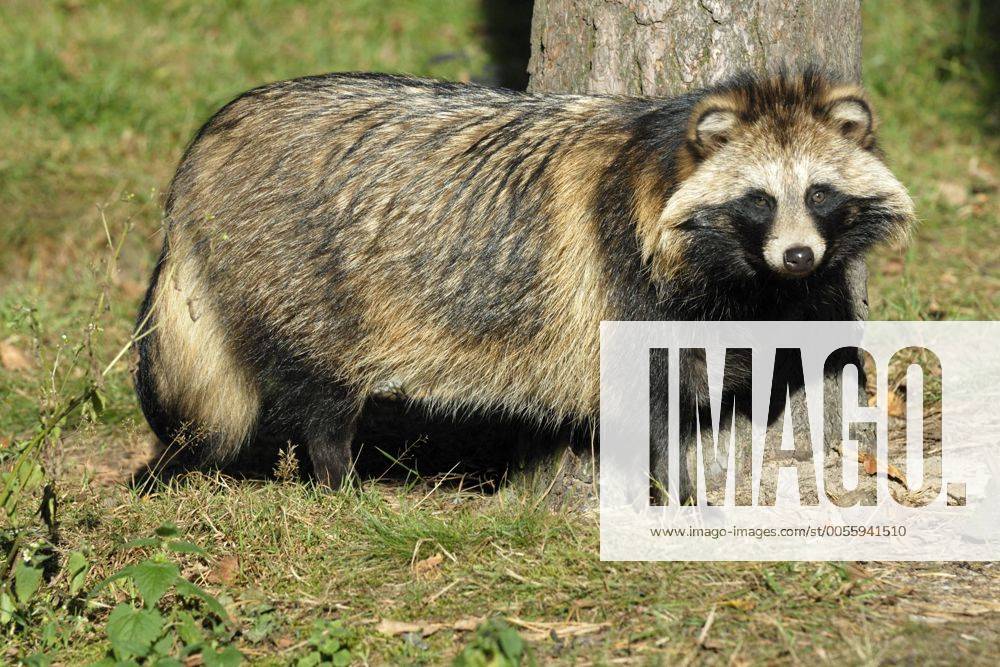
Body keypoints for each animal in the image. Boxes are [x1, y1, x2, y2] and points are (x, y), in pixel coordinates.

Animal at [134, 69, 915, 494]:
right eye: (757, 200)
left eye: (818, 193)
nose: (798, 257)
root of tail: (206, 147)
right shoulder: (621, 272)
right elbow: (649, 403)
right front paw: (677, 490)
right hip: (299, 270)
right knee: (318, 393)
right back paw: (337, 476)